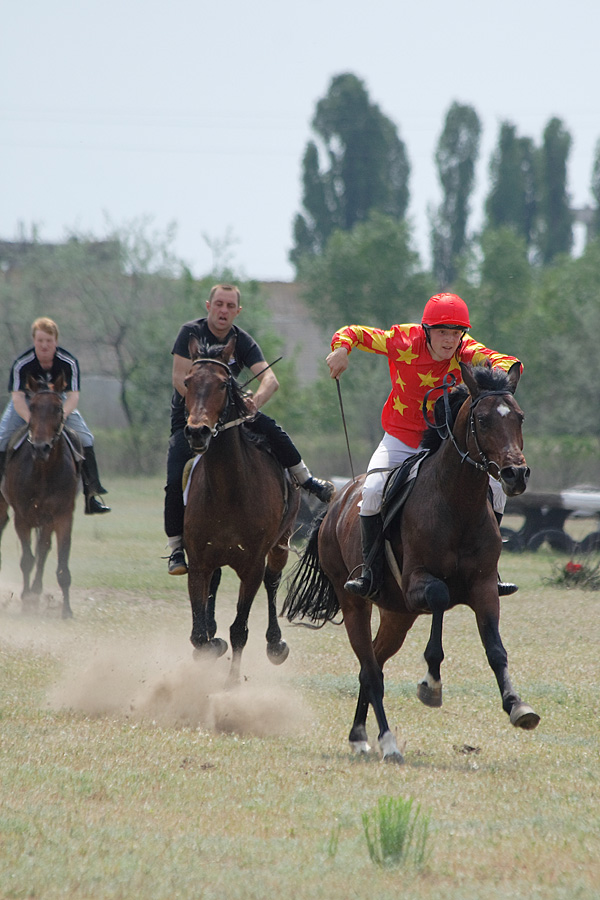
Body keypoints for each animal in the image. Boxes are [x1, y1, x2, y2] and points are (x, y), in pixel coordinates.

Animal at [0, 374, 79, 620]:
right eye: (32, 407)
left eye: (58, 408)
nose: (41, 448)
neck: (43, 471)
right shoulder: (22, 518)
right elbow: (27, 560)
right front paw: (26, 601)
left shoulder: (63, 517)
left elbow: (61, 564)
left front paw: (67, 610)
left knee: (43, 550)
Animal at [179, 336, 298, 684]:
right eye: (188, 381)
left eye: (222, 383)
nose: (198, 431)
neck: (228, 491)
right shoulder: (199, 562)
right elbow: (199, 635)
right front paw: (210, 644)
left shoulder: (251, 566)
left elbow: (240, 629)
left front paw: (232, 683)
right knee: (216, 586)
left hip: (281, 542)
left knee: (273, 581)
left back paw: (275, 643)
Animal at [284, 362, 540, 764]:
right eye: (483, 420)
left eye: (519, 417)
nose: (515, 474)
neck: (457, 502)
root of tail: (336, 504)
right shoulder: (419, 581)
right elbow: (439, 599)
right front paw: (431, 683)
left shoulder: (484, 588)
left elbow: (496, 649)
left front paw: (517, 706)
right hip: (356, 604)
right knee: (371, 670)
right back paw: (388, 742)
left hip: (397, 615)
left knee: (371, 665)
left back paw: (360, 736)